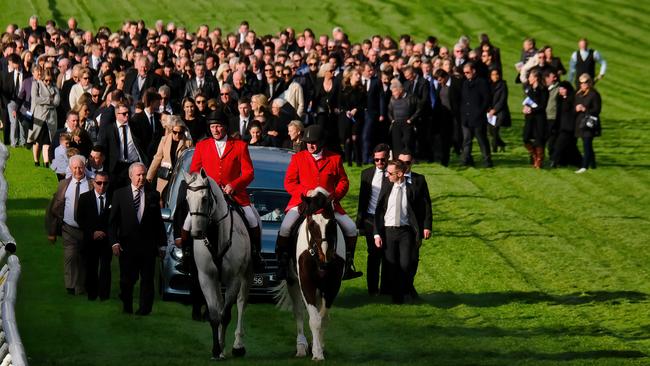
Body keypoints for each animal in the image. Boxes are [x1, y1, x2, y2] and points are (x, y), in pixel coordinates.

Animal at [185, 170, 253, 358]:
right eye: (187, 199)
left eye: (204, 198)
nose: (196, 233)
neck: (216, 237)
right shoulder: (207, 278)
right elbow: (215, 315)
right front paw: (217, 350)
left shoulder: (234, 279)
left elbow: (226, 315)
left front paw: (225, 347)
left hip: (246, 276)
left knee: (241, 304)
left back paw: (238, 345)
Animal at [274, 187, 344, 362]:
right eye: (312, 224)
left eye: (332, 223)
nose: (325, 257)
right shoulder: (307, 283)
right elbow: (313, 319)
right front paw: (317, 353)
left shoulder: (333, 285)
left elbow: (323, 318)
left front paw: (319, 347)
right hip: (293, 282)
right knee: (298, 312)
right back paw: (301, 347)